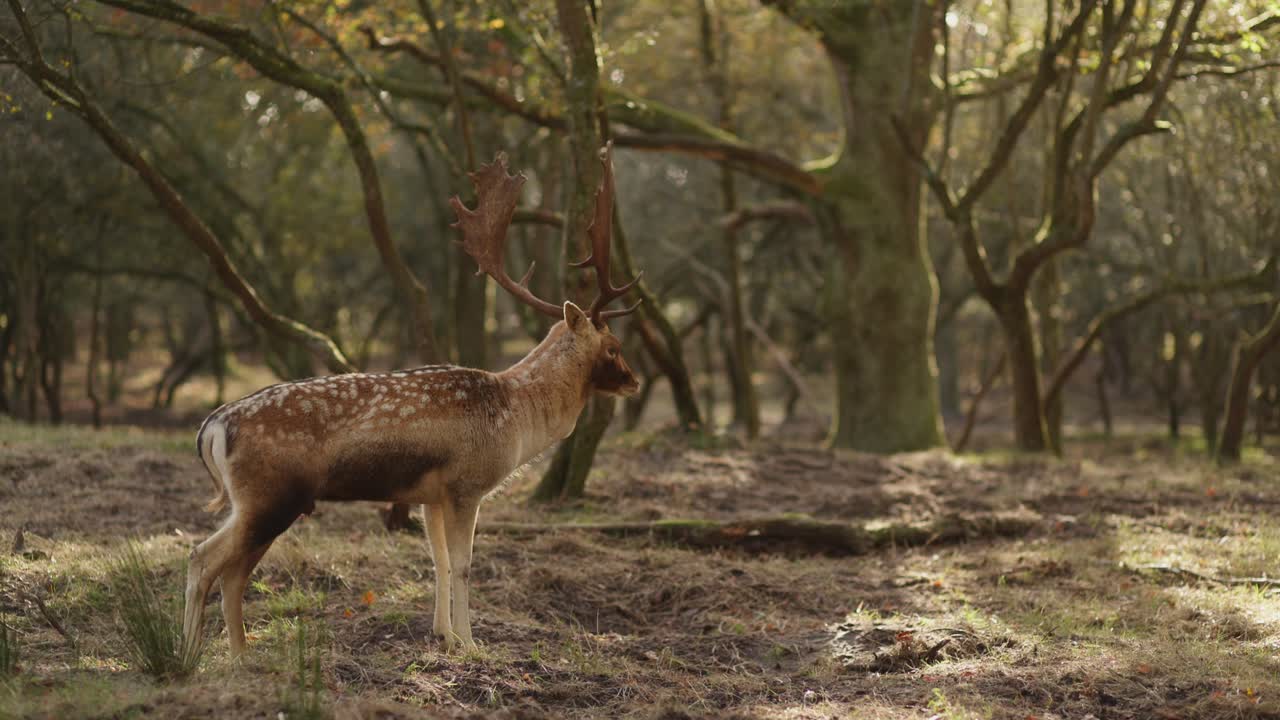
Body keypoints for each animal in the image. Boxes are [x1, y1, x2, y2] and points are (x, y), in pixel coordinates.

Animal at [185, 144, 641, 658]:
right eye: (613, 347)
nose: (634, 381)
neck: (516, 418)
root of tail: (212, 427)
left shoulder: (432, 496)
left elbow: (438, 560)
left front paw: (445, 635)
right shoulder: (467, 485)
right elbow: (464, 564)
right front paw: (472, 644)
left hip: (262, 502)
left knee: (229, 571)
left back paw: (232, 654)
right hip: (270, 496)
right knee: (204, 559)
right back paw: (193, 655)